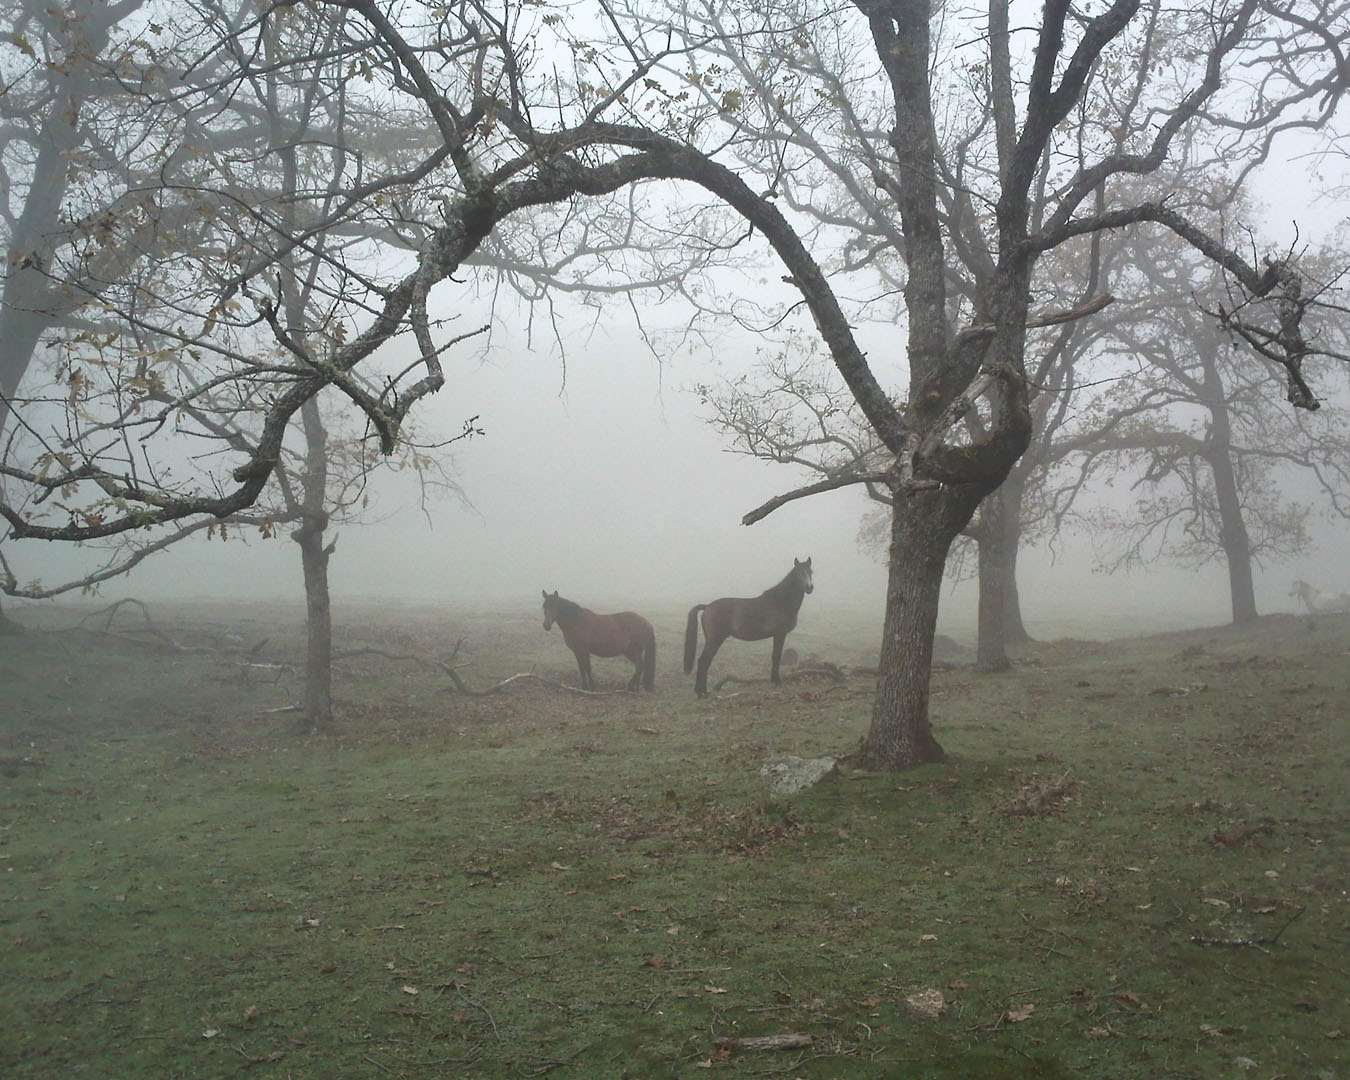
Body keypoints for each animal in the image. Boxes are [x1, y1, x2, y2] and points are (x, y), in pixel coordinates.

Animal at [683, 557, 814, 697]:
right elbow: (776, 656)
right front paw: (776, 681)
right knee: (703, 661)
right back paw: (702, 693)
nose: (809, 587)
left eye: (811, 572)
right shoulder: (780, 634)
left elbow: (775, 656)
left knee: (705, 662)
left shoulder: (777, 635)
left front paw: (774, 680)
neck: (780, 602)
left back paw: (702, 691)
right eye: (799, 573)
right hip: (714, 640)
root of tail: (707, 606)